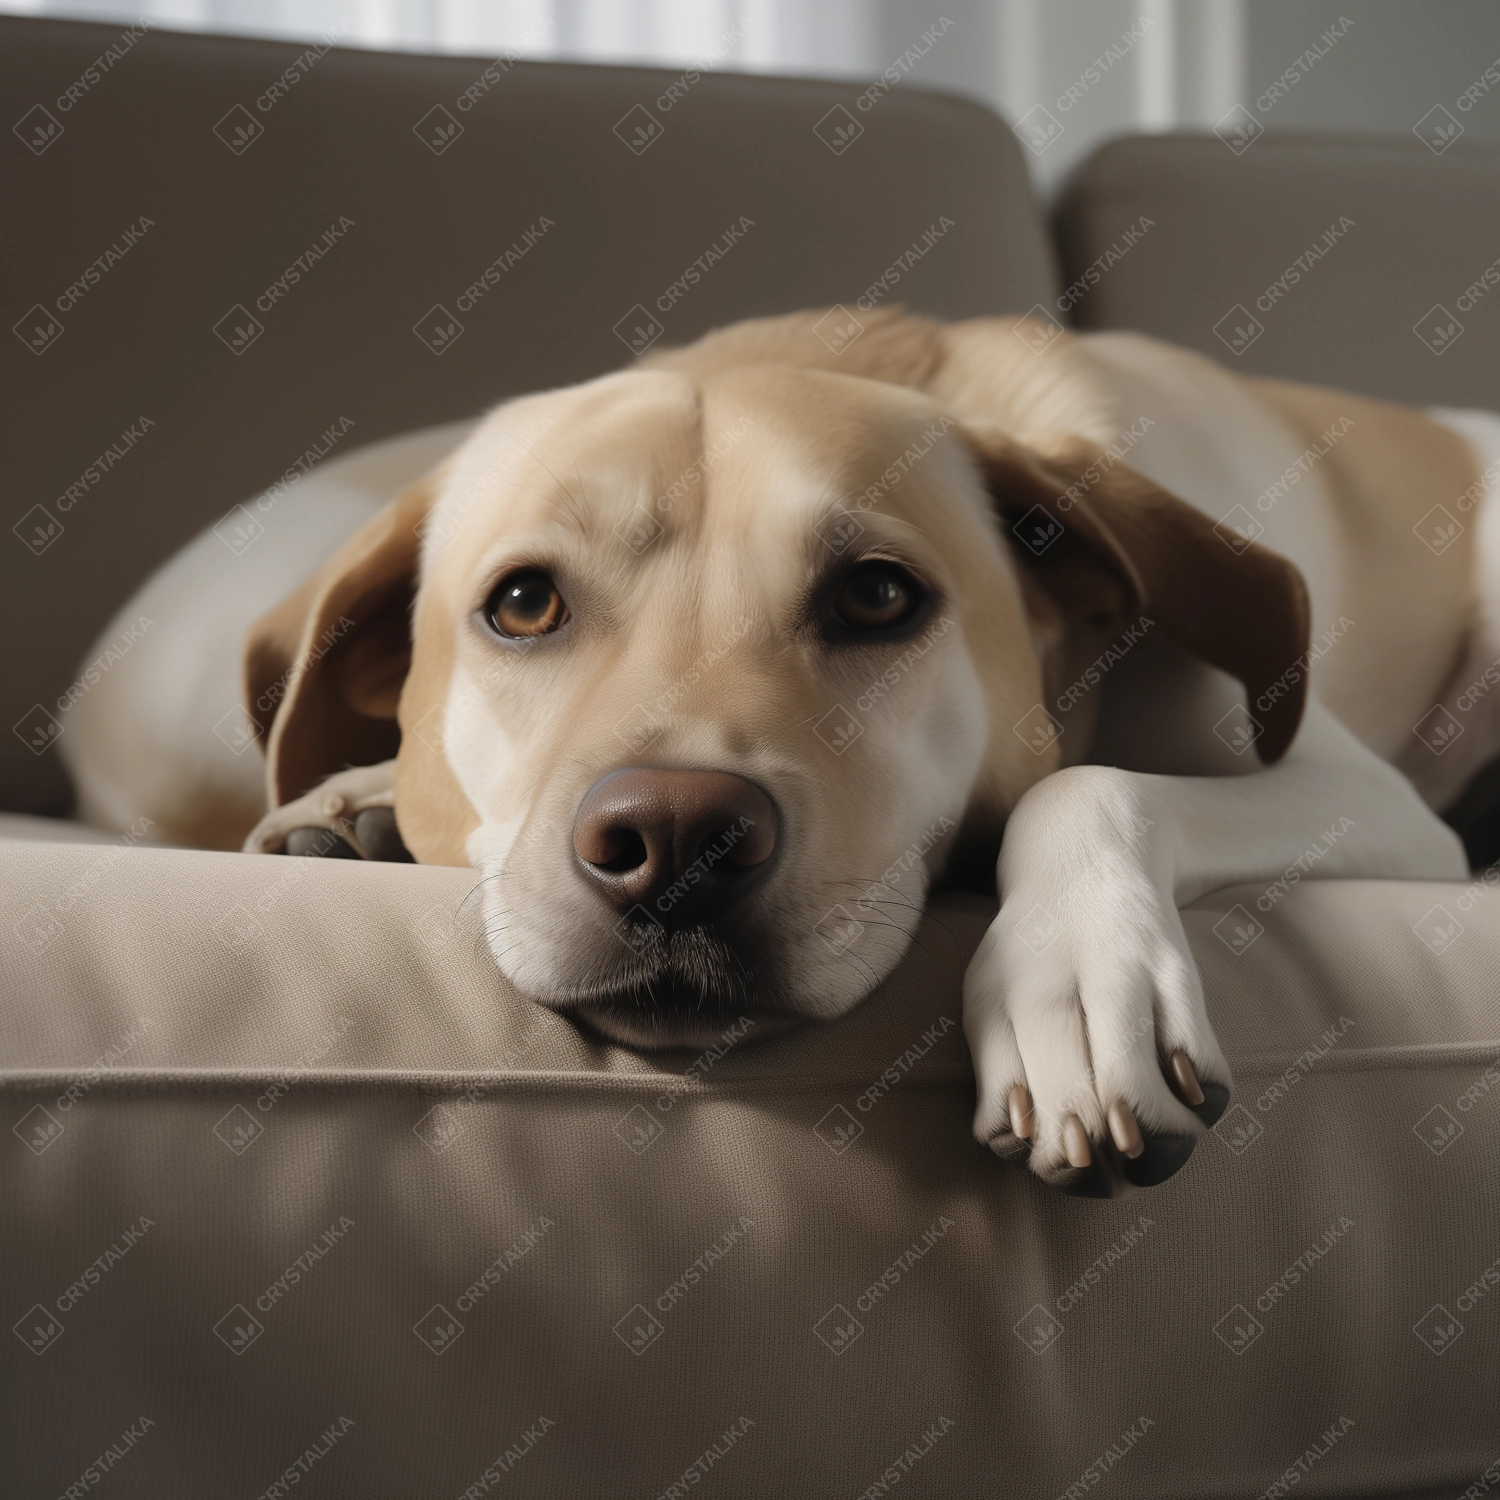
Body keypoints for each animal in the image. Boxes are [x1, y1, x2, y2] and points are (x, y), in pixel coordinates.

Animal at [61, 307, 1500, 1194]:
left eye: (876, 596)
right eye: (521, 604)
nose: (672, 842)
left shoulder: (1360, 799)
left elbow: (1087, 785)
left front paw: (1076, 990)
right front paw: (355, 800)